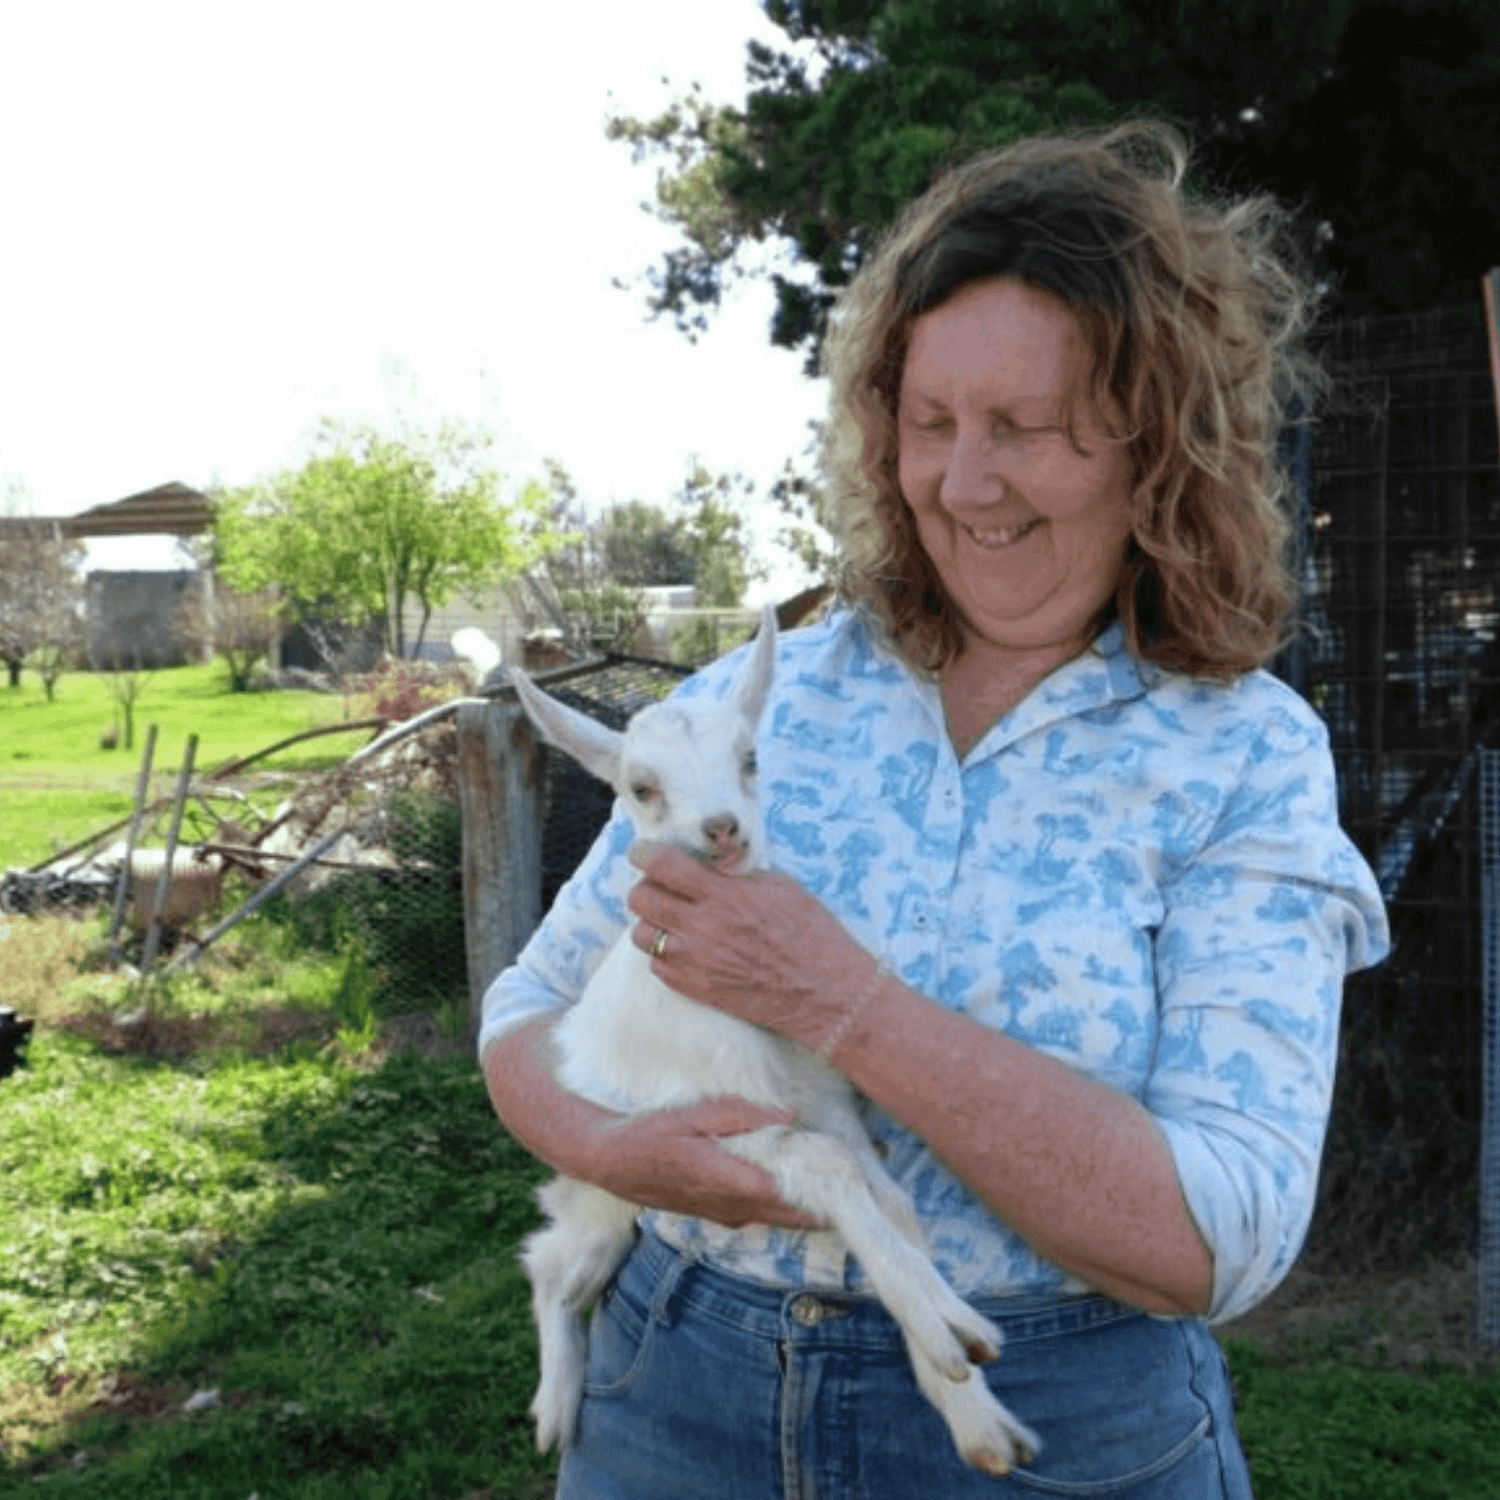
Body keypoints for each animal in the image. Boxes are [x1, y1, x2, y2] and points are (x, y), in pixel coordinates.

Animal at [506, 604, 1041, 1477]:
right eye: (641, 789)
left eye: (750, 759)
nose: (721, 830)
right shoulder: (703, 1119)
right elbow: (827, 1171)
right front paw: (952, 1328)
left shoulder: (829, 1106)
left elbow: (893, 1204)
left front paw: (972, 1404)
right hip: (607, 1175)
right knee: (548, 1261)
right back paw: (555, 1408)